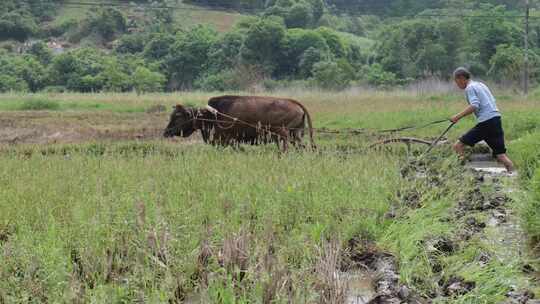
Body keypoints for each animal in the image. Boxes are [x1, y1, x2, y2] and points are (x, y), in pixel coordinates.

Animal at [165, 95, 316, 150]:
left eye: (178, 116)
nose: (166, 132)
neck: (213, 115)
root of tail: (295, 103)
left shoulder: (228, 141)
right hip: (295, 136)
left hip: (284, 136)